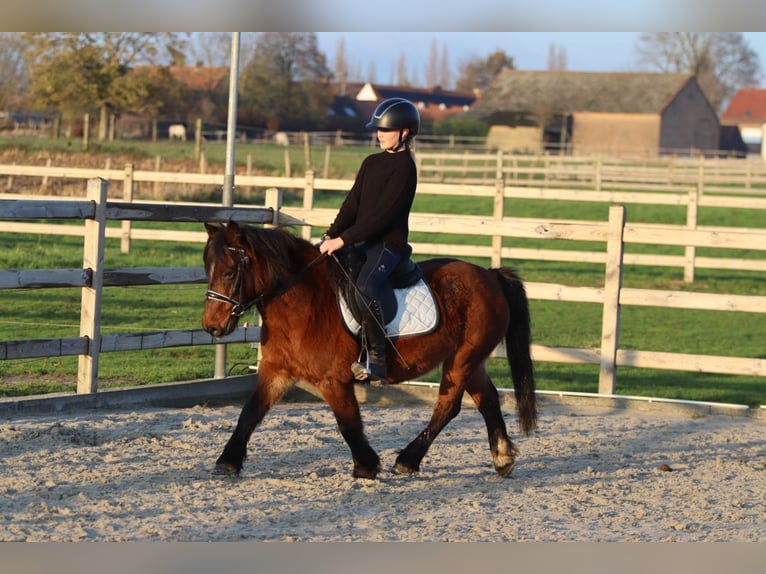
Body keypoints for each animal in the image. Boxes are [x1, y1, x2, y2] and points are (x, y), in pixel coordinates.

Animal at [202, 221, 537, 479]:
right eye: (208, 269)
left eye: (230, 272)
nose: (212, 327)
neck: (304, 303)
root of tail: (490, 275)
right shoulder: (276, 371)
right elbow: (249, 413)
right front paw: (227, 462)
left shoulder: (333, 380)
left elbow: (348, 424)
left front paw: (366, 465)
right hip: (472, 359)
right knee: (487, 399)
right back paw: (502, 458)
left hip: (463, 359)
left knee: (448, 405)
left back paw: (407, 460)